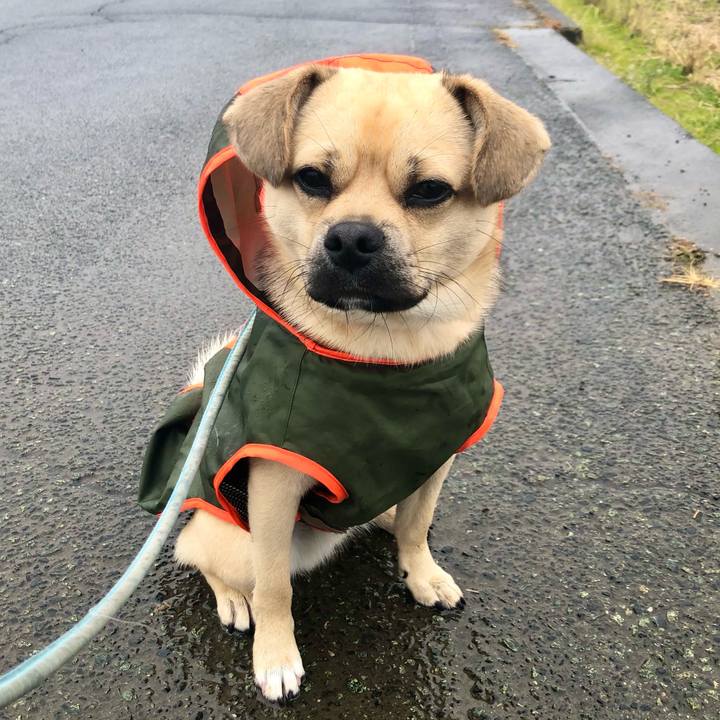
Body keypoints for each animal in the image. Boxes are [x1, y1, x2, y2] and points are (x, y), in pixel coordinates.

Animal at [166, 59, 549, 702]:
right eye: (312, 179)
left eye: (429, 191)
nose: (351, 237)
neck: (385, 354)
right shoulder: (274, 487)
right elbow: (276, 586)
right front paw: (276, 653)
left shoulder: (436, 457)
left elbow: (418, 526)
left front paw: (420, 572)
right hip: (230, 537)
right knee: (198, 557)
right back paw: (234, 601)